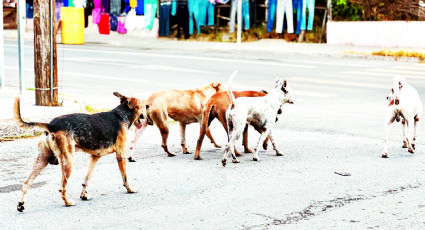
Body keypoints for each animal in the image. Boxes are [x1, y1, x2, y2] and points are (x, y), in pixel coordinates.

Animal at [14, 91, 149, 212]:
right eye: (142, 104)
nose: (148, 107)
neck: (121, 115)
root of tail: (51, 125)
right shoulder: (121, 155)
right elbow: (125, 177)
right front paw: (130, 189)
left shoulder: (94, 157)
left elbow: (86, 179)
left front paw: (84, 195)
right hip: (68, 161)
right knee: (61, 188)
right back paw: (68, 202)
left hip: (42, 159)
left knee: (27, 182)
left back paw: (21, 205)